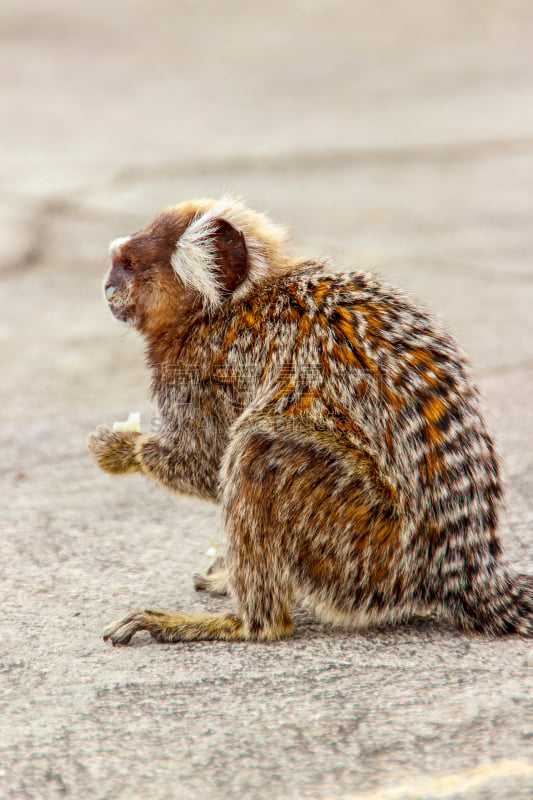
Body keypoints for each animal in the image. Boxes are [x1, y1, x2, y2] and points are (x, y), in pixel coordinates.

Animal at [87, 197, 532, 648]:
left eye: (128, 265)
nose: (107, 288)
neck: (228, 308)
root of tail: (465, 568)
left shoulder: (203, 369)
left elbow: (205, 463)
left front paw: (122, 449)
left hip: (369, 551)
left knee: (256, 449)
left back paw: (240, 622)